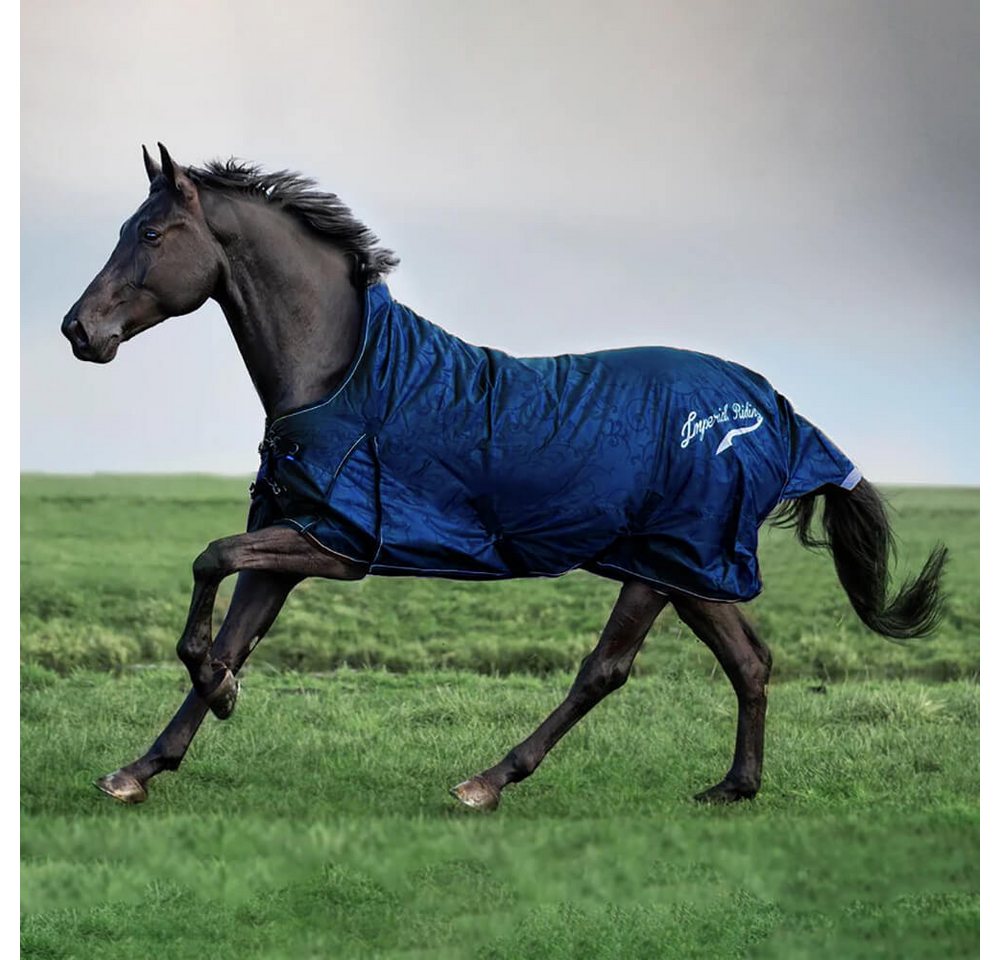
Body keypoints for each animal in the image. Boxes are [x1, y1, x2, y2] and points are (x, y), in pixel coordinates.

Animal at [62, 144, 947, 809]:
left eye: (153, 232)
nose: (79, 330)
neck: (343, 376)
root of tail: (772, 409)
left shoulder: (337, 546)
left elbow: (208, 564)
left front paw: (218, 698)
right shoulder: (293, 538)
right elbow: (232, 630)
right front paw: (143, 765)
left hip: (663, 561)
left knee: (606, 670)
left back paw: (488, 781)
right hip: (688, 567)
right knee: (750, 662)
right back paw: (734, 787)